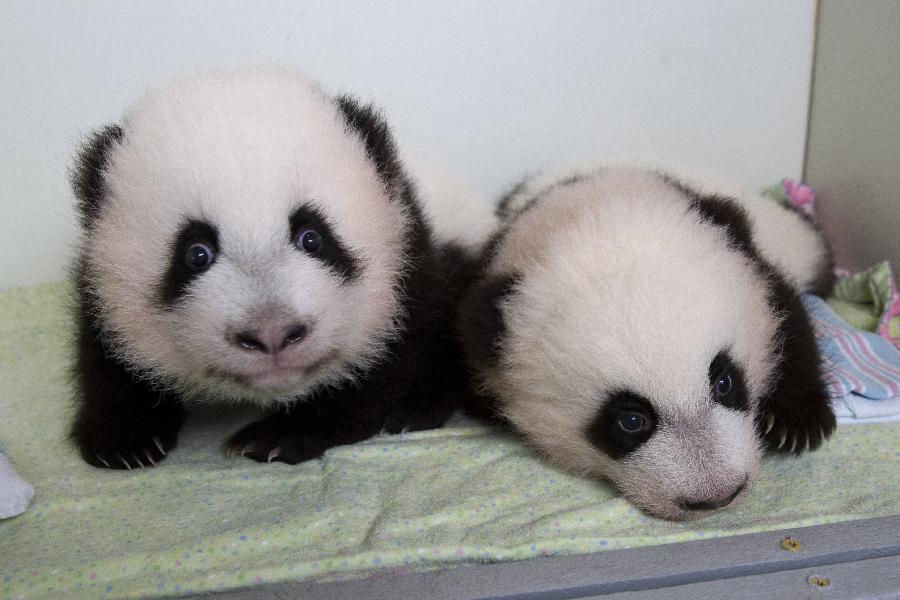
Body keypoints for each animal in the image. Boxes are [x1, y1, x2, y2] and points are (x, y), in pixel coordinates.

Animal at [69, 69, 482, 469]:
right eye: (196, 253)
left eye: (311, 237)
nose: (272, 334)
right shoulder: (100, 279)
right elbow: (105, 351)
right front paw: (126, 440)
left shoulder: (408, 261)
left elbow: (388, 362)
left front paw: (280, 435)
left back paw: (416, 410)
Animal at [458, 164, 836, 520]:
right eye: (630, 420)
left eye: (724, 382)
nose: (718, 495)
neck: (595, 209)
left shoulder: (748, 261)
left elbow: (786, 311)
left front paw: (795, 423)